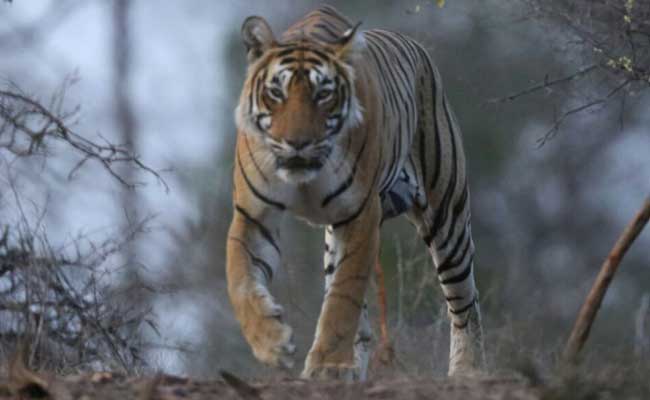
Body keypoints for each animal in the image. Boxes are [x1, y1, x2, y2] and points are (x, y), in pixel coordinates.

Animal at [226, 6, 485, 380]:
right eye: (276, 92)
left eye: (323, 94)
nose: (297, 143)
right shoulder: (253, 215)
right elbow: (241, 280)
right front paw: (272, 342)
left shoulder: (360, 213)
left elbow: (342, 299)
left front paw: (325, 366)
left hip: (446, 216)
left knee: (464, 300)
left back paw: (468, 371)